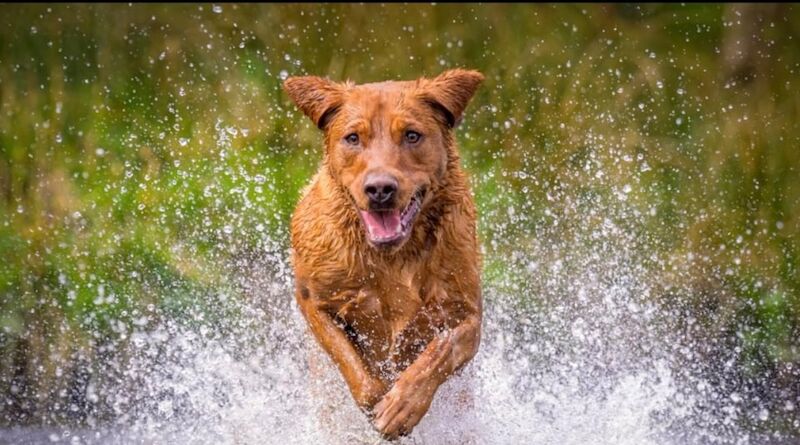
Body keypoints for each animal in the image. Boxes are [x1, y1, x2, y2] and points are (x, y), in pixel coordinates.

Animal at [288, 69, 488, 438]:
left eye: (412, 135)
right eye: (353, 138)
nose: (380, 189)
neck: (393, 256)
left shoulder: (467, 314)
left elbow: (441, 350)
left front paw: (401, 407)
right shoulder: (313, 301)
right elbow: (356, 369)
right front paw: (380, 399)